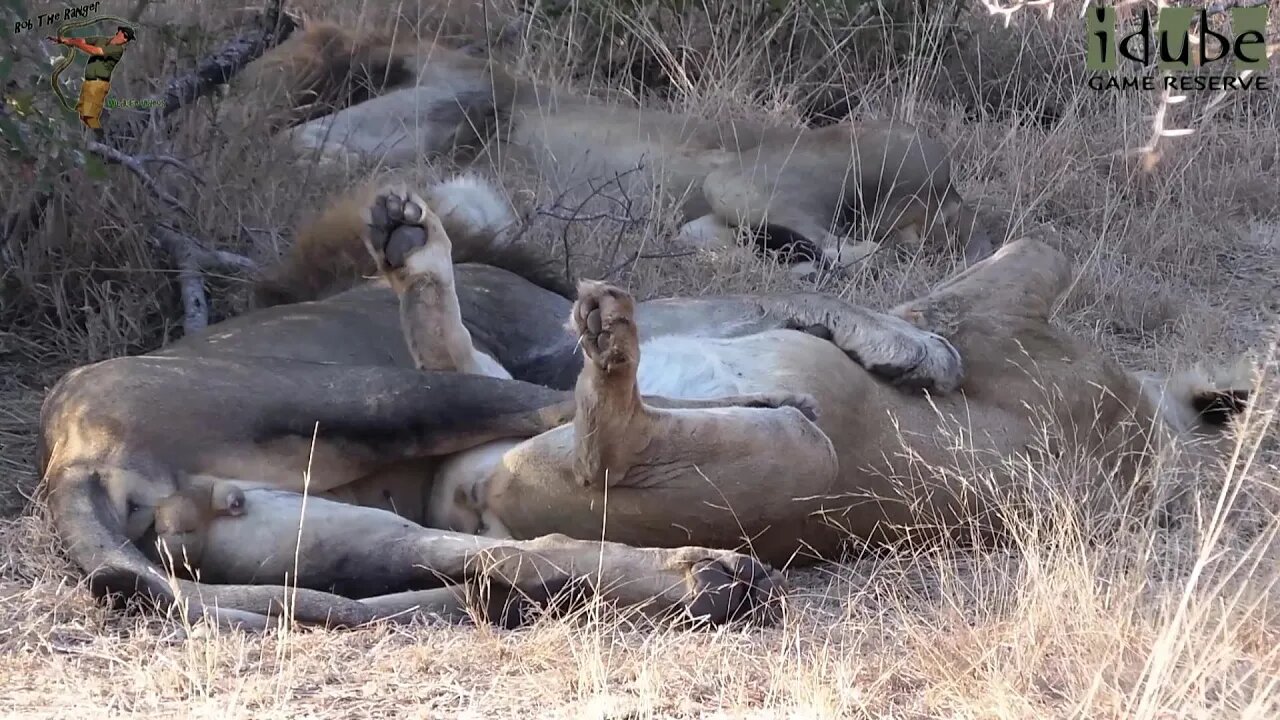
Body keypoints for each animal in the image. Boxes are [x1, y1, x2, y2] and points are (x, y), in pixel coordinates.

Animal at [227, 18, 988, 299]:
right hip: (717, 214)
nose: (236, 86)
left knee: (850, 252)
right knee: (766, 245)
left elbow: (300, 147)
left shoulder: (460, 96)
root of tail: (953, 182)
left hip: (741, 179)